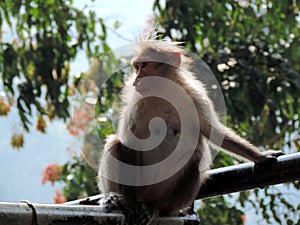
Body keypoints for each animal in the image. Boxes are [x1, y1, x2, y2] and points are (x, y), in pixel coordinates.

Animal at [97, 37, 282, 223]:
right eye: (137, 67)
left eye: (144, 65)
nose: (136, 78)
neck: (164, 91)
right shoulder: (137, 104)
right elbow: (130, 143)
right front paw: (128, 203)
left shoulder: (195, 96)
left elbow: (213, 131)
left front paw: (261, 157)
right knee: (115, 143)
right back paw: (115, 198)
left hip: (164, 194)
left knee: (195, 159)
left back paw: (156, 208)